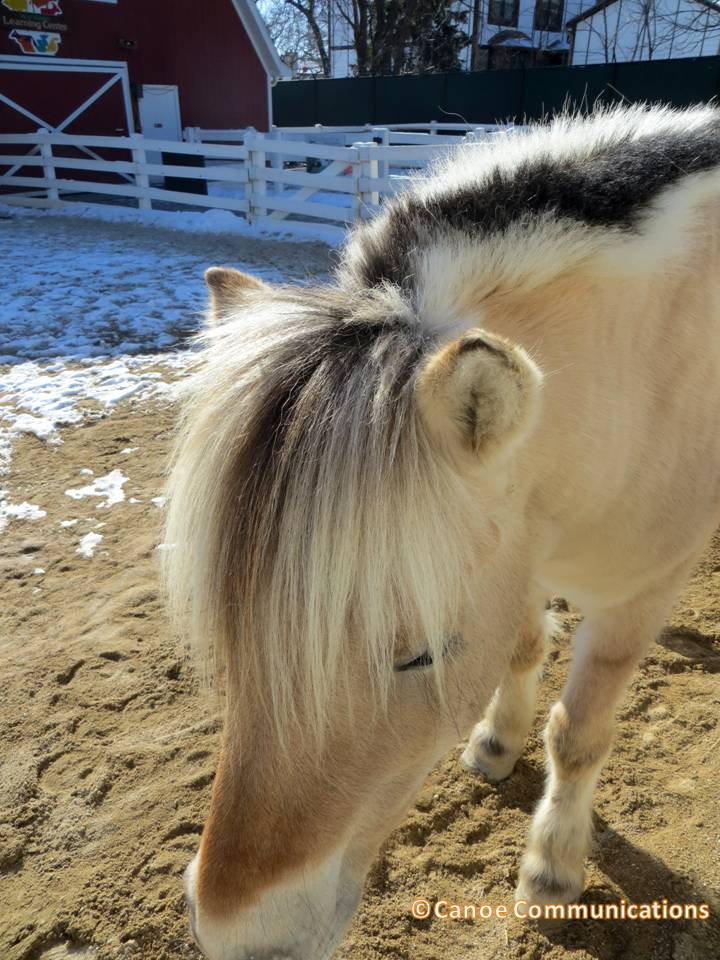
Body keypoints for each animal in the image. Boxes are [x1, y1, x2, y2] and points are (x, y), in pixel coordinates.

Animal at [164, 105, 720, 960]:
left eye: (419, 655)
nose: (241, 934)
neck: (639, 371)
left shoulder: (637, 594)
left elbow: (579, 735)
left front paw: (552, 870)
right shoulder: (515, 549)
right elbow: (520, 646)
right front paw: (495, 742)